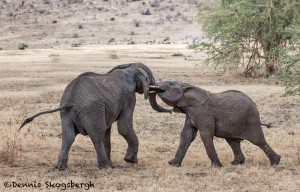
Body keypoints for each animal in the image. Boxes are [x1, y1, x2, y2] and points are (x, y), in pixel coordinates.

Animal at [19, 63, 171, 170]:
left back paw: (61, 167)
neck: (129, 68)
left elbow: (109, 130)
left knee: (69, 135)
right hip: (91, 109)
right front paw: (131, 161)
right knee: (97, 134)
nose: (170, 112)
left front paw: (119, 161)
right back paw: (106, 166)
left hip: (68, 113)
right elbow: (123, 127)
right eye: (151, 80)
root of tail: (71, 100)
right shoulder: (128, 98)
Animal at [150, 80, 282, 166]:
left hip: (251, 119)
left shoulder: (203, 113)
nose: (155, 87)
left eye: (171, 83)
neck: (189, 87)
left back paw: (276, 162)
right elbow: (186, 135)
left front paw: (216, 166)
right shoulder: (190, 114)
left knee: (258, 141)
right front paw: (172, 164)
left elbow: (205, 135)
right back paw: (236, 163)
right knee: (233, 141)